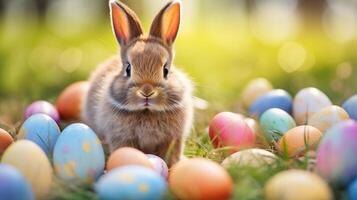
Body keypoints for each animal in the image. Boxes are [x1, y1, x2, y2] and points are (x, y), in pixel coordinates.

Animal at [82, 0, 193, 166]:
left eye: (166, 70)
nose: (147, 92)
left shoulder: (173, 139)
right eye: (128, 69)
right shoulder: (121, 138)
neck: (147, 112)